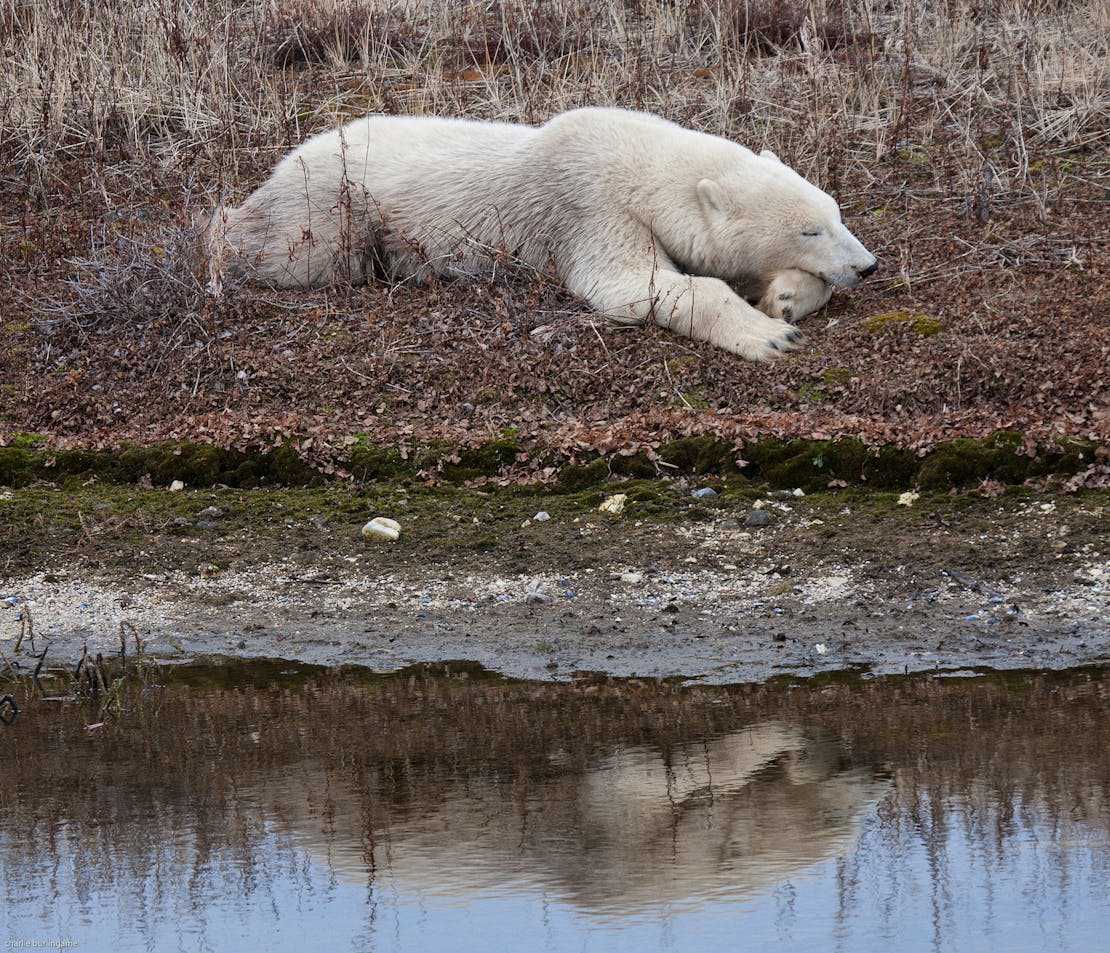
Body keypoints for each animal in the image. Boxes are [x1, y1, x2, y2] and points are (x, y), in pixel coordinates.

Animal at [209, 107, 874, 361]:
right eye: (810, 229)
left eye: (836, 214)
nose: (866, 266)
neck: (640, 164)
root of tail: (289, 157)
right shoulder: (589, 208)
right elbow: (631, 283)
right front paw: (770, 335)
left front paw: (784, 299)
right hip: (334, 206)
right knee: (290, 252)